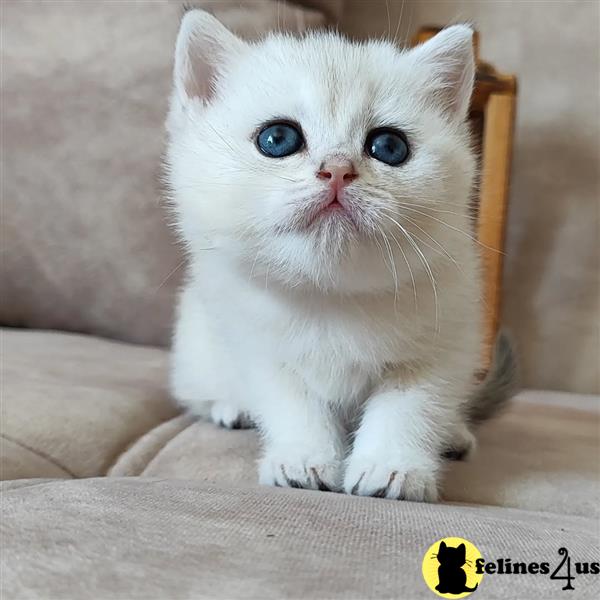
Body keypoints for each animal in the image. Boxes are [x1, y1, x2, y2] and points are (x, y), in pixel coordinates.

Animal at [165, 10, 516, 502]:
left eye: (389, 146)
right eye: (278, 138)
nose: (337, 169)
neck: (333, 299)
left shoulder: (443, 341)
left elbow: (409, 407)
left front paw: (392, 468)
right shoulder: (257, 348)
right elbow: (292, 404)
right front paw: (303, 459)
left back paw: (453, 433)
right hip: (196, 347)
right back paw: (230, 407)